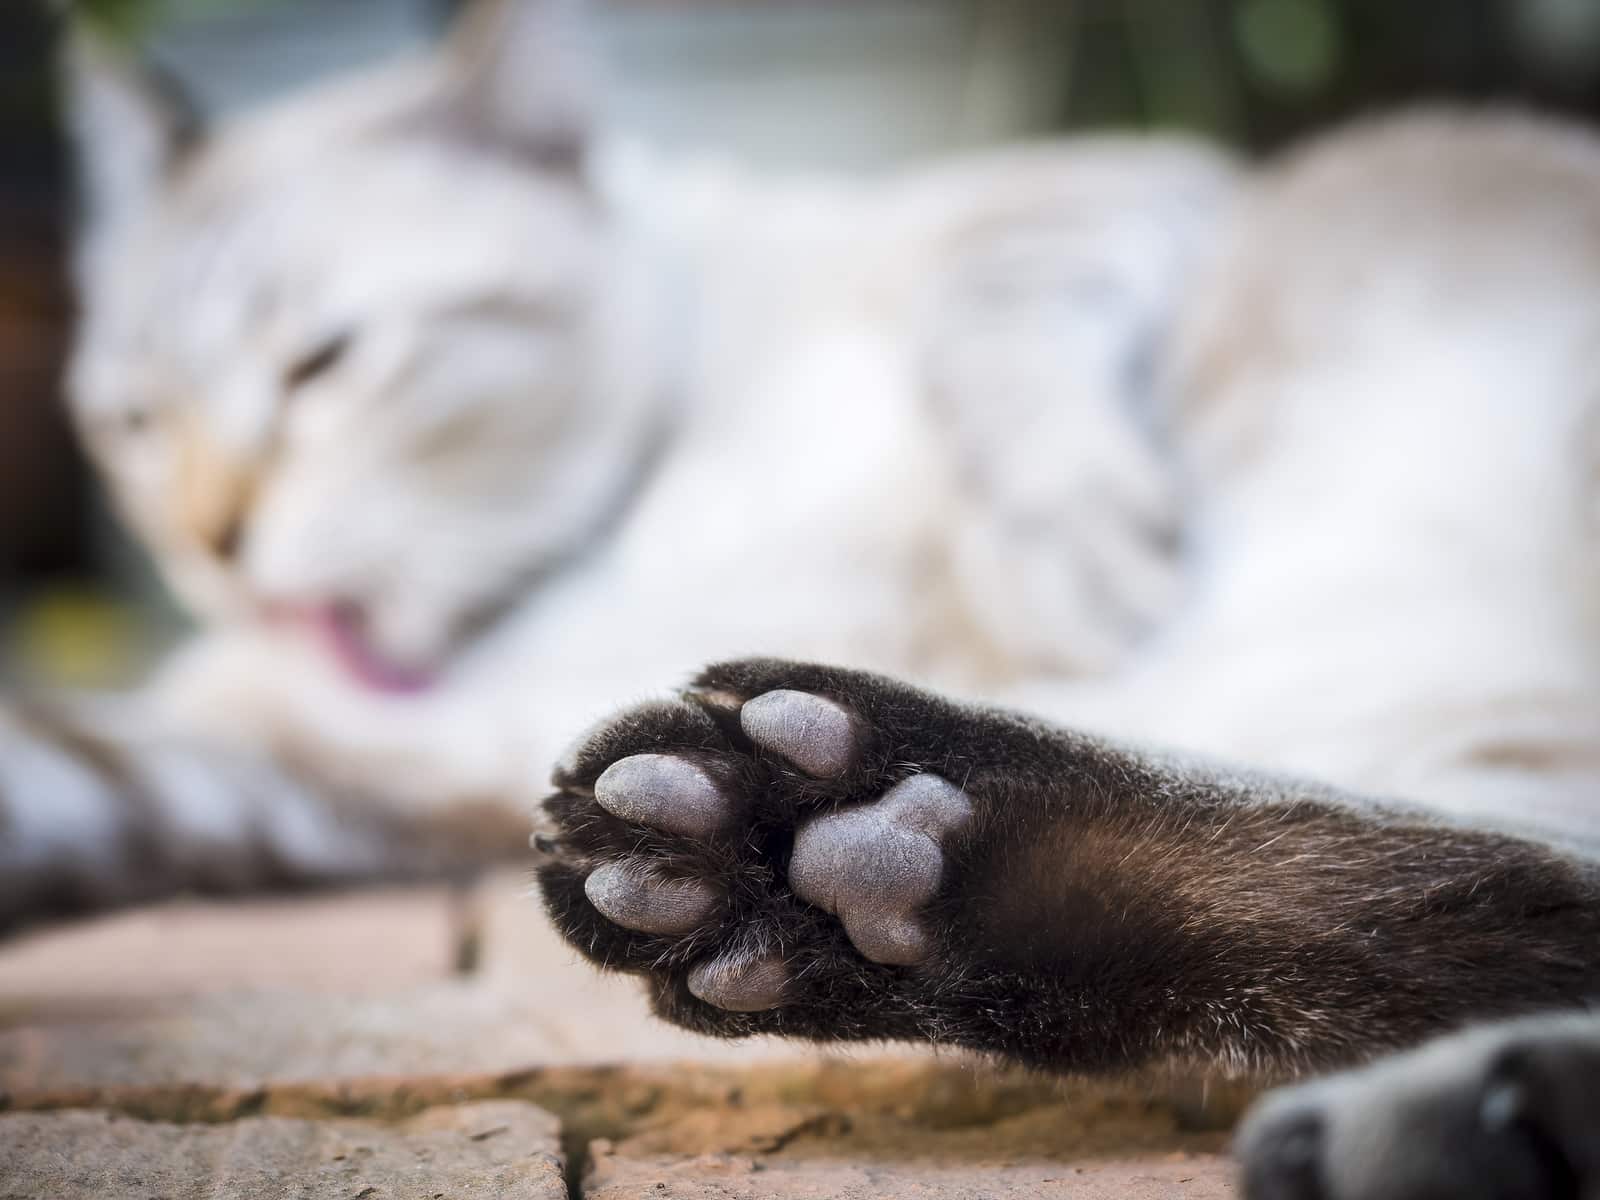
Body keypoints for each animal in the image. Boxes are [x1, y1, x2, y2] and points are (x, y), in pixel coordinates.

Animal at [18, 2, 1600, 1200]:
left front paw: (1070, 564)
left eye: (324, 364)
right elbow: (62, 772)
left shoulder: (1118, 185)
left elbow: (997, 320)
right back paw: (834, 852)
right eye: (130, 422)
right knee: (1473, 901)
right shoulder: (325, 759)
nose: (206, 544)